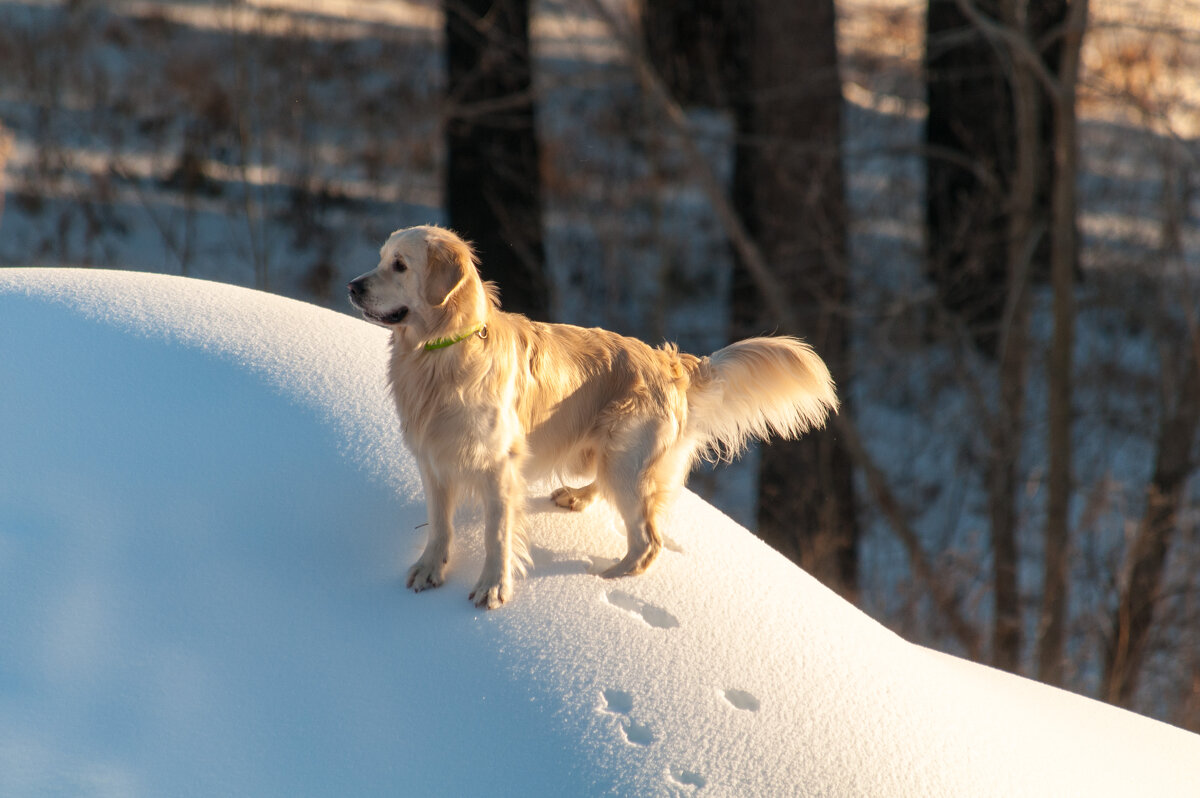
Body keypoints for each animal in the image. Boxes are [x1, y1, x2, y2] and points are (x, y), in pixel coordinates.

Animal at [348, 226, 835, 607]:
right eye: (380, 260)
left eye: (399, 265)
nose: (352, 286)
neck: (441, 353)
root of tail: (670, 364)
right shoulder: (433, 458)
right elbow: (439, 524)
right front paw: (430, 568)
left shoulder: (499, 465)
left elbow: (497, 533)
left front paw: (493, 587)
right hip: (610, 453)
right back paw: (577, 497)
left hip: (627, 458)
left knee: (648, 542)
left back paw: (606, 579)